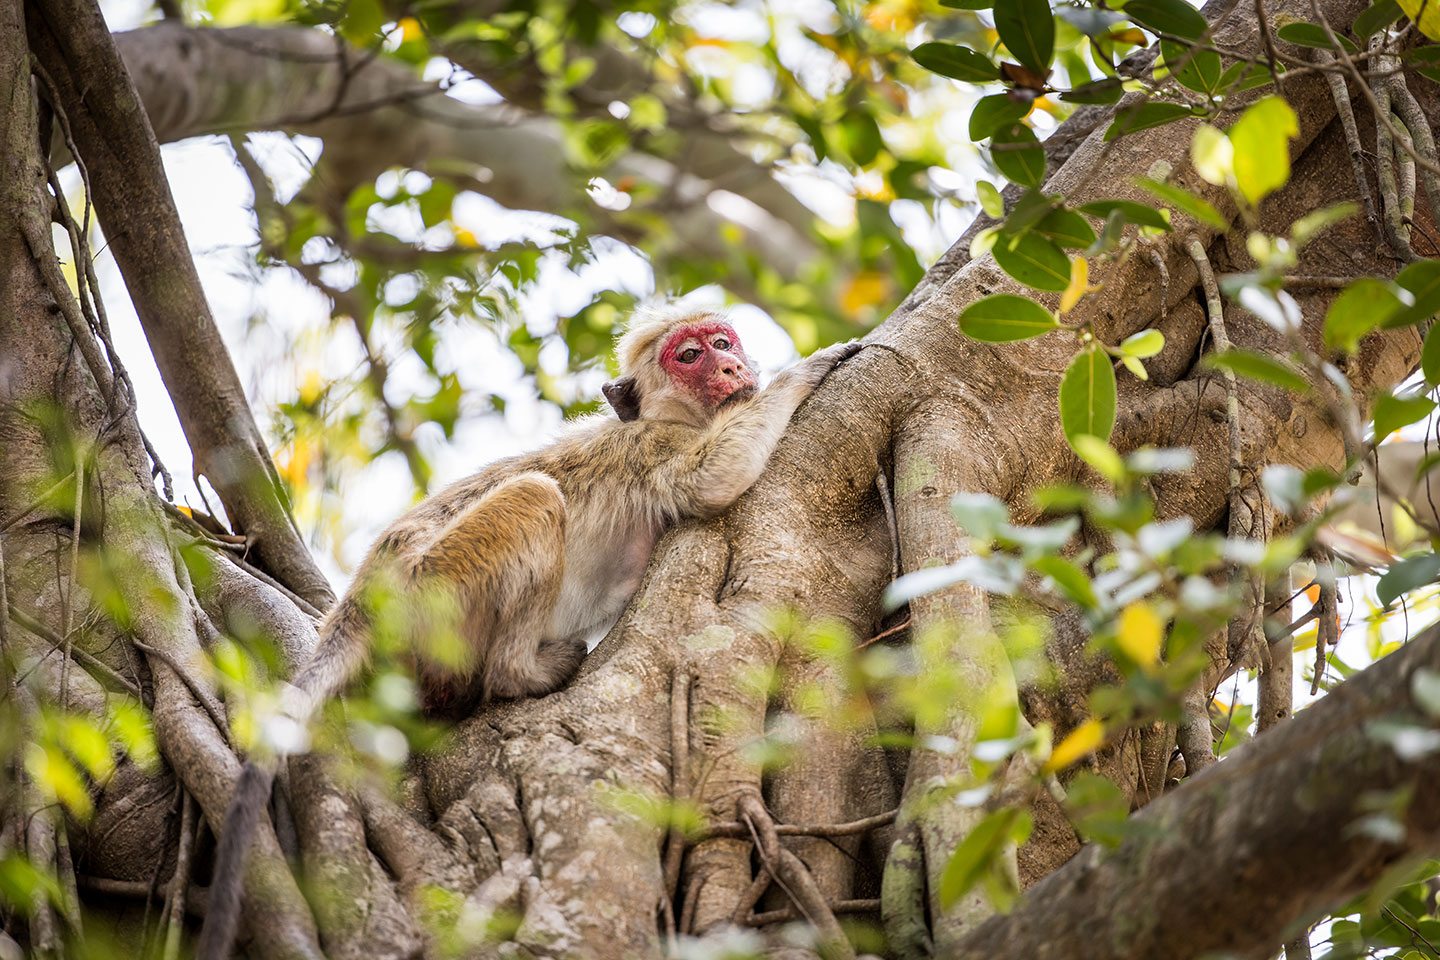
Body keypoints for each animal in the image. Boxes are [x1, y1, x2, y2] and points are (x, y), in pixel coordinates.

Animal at [195, 308, 859, 959]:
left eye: (722, 342)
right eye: (690, 356)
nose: (730, 366)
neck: (674, 416)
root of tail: (360, 603)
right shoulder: (652, 448)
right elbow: (712, 478)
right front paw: (810, 367)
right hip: (433, 584)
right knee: (537, 497)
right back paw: (522, 672)